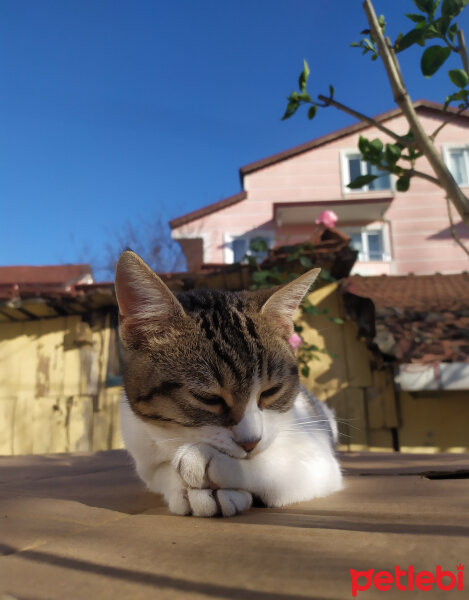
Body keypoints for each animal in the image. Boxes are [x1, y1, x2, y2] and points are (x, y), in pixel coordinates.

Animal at [115, 248, 342, 516]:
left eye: (272, 391)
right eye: (207, 398)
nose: (250, 442)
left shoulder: (319, 457)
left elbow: (280, 468)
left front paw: (210, 463)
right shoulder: (141, 449)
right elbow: (160, 472)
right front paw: (187, 488)